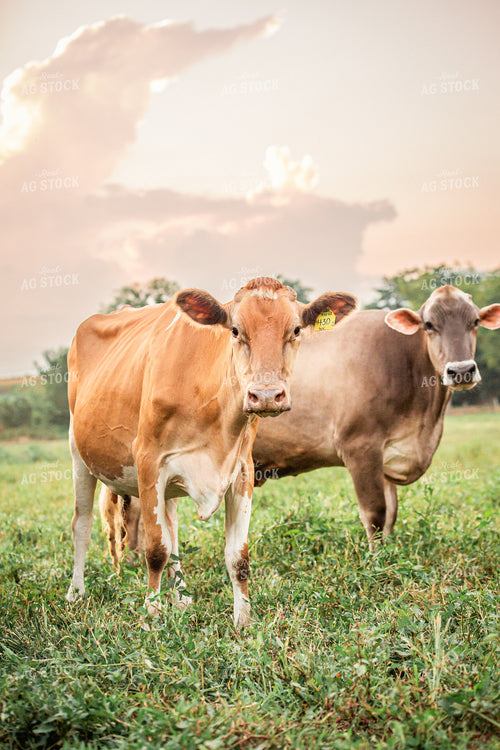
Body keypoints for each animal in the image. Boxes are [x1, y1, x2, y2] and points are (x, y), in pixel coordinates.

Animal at [66, 277, 356, 627]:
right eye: (234, 330)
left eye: (297, 329)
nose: (266, 395)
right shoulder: (149, 463)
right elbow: (155, 550)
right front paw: (151, 616)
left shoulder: (241, 470)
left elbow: (237, 556)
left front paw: (243, 621)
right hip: (78, 453)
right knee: (82, 525)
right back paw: (76, 592)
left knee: (173, 529)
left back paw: (181, 597)